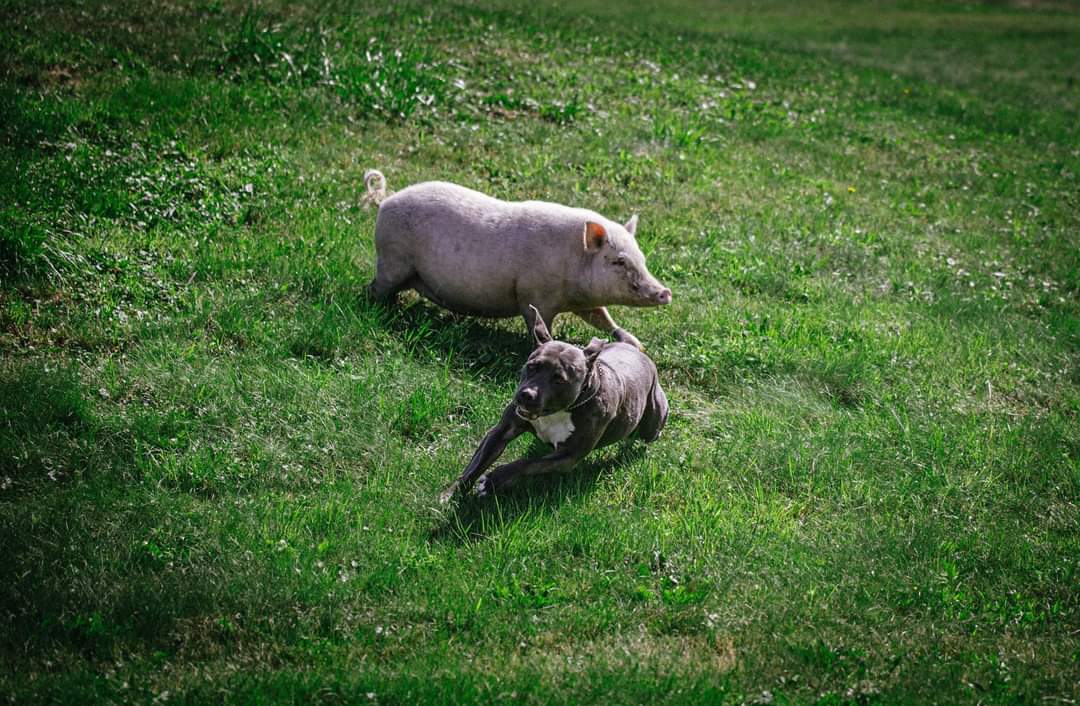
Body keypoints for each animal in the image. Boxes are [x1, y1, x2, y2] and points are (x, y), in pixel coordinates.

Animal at [363, 169, 671, 350]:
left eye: (641, 258)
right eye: (619, 261)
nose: (665, 292)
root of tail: (386, 201)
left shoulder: (584, 301)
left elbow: (603, 318)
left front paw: (637, 344)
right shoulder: (534, 295)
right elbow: (539, 324)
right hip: (393, 259)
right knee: (373, 289)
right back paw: (380, 310)